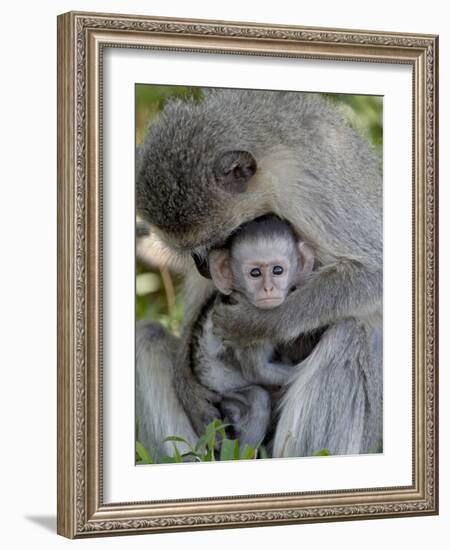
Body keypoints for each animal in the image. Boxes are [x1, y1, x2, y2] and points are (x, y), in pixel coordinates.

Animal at [188, 213, 314, 450]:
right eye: (255, 273)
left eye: (277, 270)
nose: (268, 289)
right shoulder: (248, 327)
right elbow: (258, 372)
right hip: (224, 391)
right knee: (257, 399)